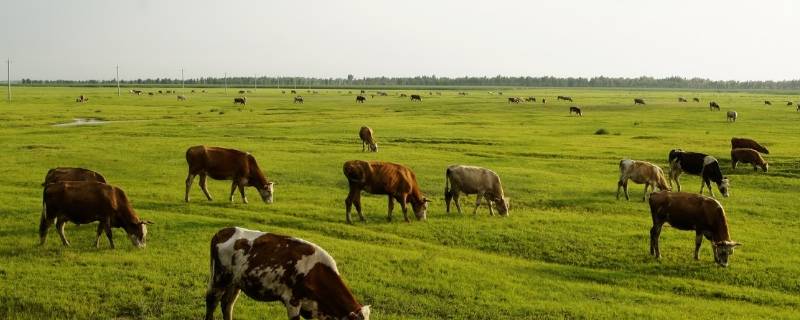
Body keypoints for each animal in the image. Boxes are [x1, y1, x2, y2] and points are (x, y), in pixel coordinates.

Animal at [205, 226, 370, 320]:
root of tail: (224, 230)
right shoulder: (292, 301)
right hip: (219, 278)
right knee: (212, 302)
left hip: (235, 283)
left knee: (227, 305)